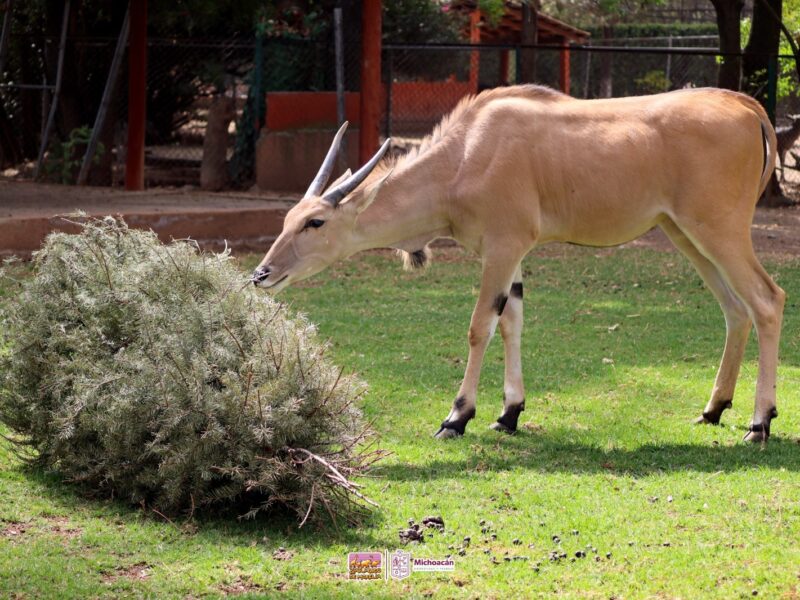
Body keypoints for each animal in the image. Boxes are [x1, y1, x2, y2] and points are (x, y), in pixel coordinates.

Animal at [255, 83, 780, 440]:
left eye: (316, 222)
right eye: (288, 218)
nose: (262, 274)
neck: (467, 152)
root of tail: (746, 107)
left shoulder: (503, 248)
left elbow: (480, 326)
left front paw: (457, 416)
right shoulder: (513, 256)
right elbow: (512, 322)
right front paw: (509, 413)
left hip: (719, 231)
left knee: (767, 300)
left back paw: (759, 422)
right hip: (684, 233)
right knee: (735, 309)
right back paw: (714, 409)